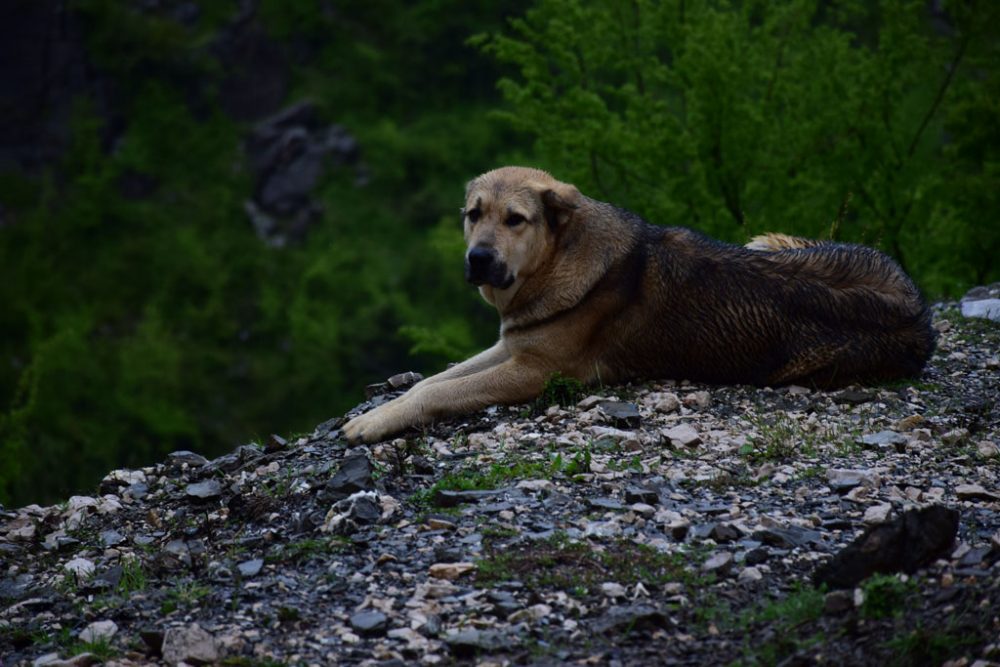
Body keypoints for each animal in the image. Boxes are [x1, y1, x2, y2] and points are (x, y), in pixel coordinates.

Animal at [346, 167, 936, 444]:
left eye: (516, 219)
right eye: (474, 214)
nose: (479, 259)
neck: (559, 259)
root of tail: (919, 308)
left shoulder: (535, 370)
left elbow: (438, 393)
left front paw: (372, 424)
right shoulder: (512, 346)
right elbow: (430, 381)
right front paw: (379, 411)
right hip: (765, 241)